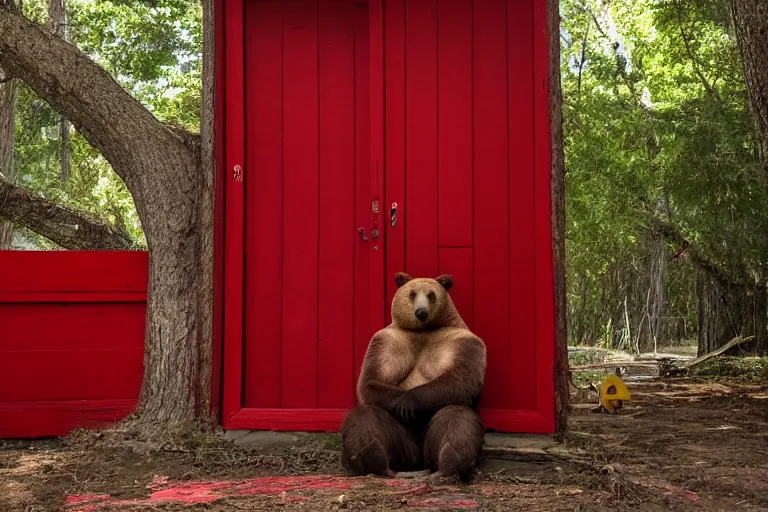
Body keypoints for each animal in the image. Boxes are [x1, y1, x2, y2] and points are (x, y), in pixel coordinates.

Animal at [340, 270, 486, 482]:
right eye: (412, 293)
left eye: (431, 294)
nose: (421, 312)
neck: (422, 330)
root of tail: (418, 458)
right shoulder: (389, 341)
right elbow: (372, 379)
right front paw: (402, 400)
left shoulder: (460, 342)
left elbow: (461, 379)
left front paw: (409, 400)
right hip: (403, 437)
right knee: (365, 416)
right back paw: (373, 459)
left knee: (457, 417)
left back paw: (450, 464)